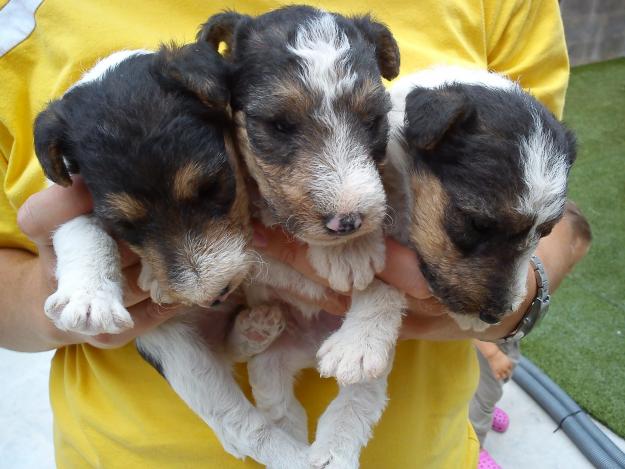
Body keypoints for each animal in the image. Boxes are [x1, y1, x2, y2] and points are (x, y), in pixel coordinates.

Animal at [33, 42, 308, 466]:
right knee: (240, 430)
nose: (215, 295)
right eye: (125, 223)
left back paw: (254, 330)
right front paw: (90, 299)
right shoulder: (67, 200)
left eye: (211, 187)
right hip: (182, 357)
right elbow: (80, 231)